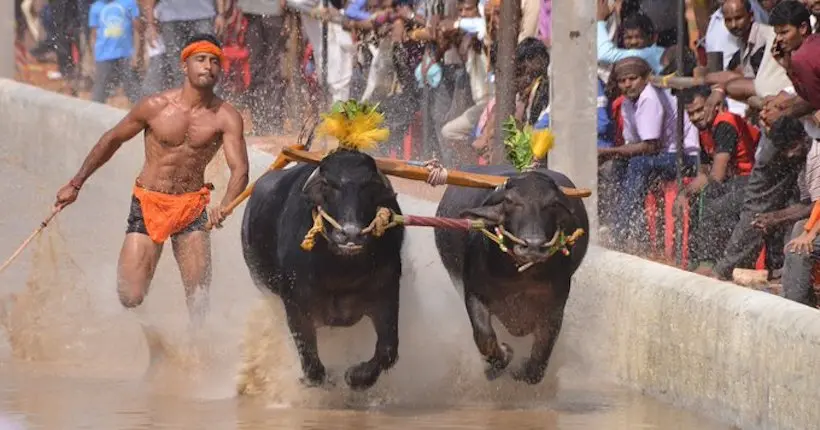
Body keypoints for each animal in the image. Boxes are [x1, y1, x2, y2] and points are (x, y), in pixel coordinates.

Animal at [240, 148, 406, 390]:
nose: (350, 234)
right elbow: (313, 366)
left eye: (370, 185)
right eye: (328, 184)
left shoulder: (387, 294)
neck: (340, 273)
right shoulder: (296, 306)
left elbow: (388, 350)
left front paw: (357, 376)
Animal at [436, 166, 588, 384]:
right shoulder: (474, 293)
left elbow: (543, 349)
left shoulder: (554, 306)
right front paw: (503, 357)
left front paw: (525, 370)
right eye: (509, 201)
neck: (520, 276)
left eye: (552, 204)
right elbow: (483, 335)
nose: (533, 245)